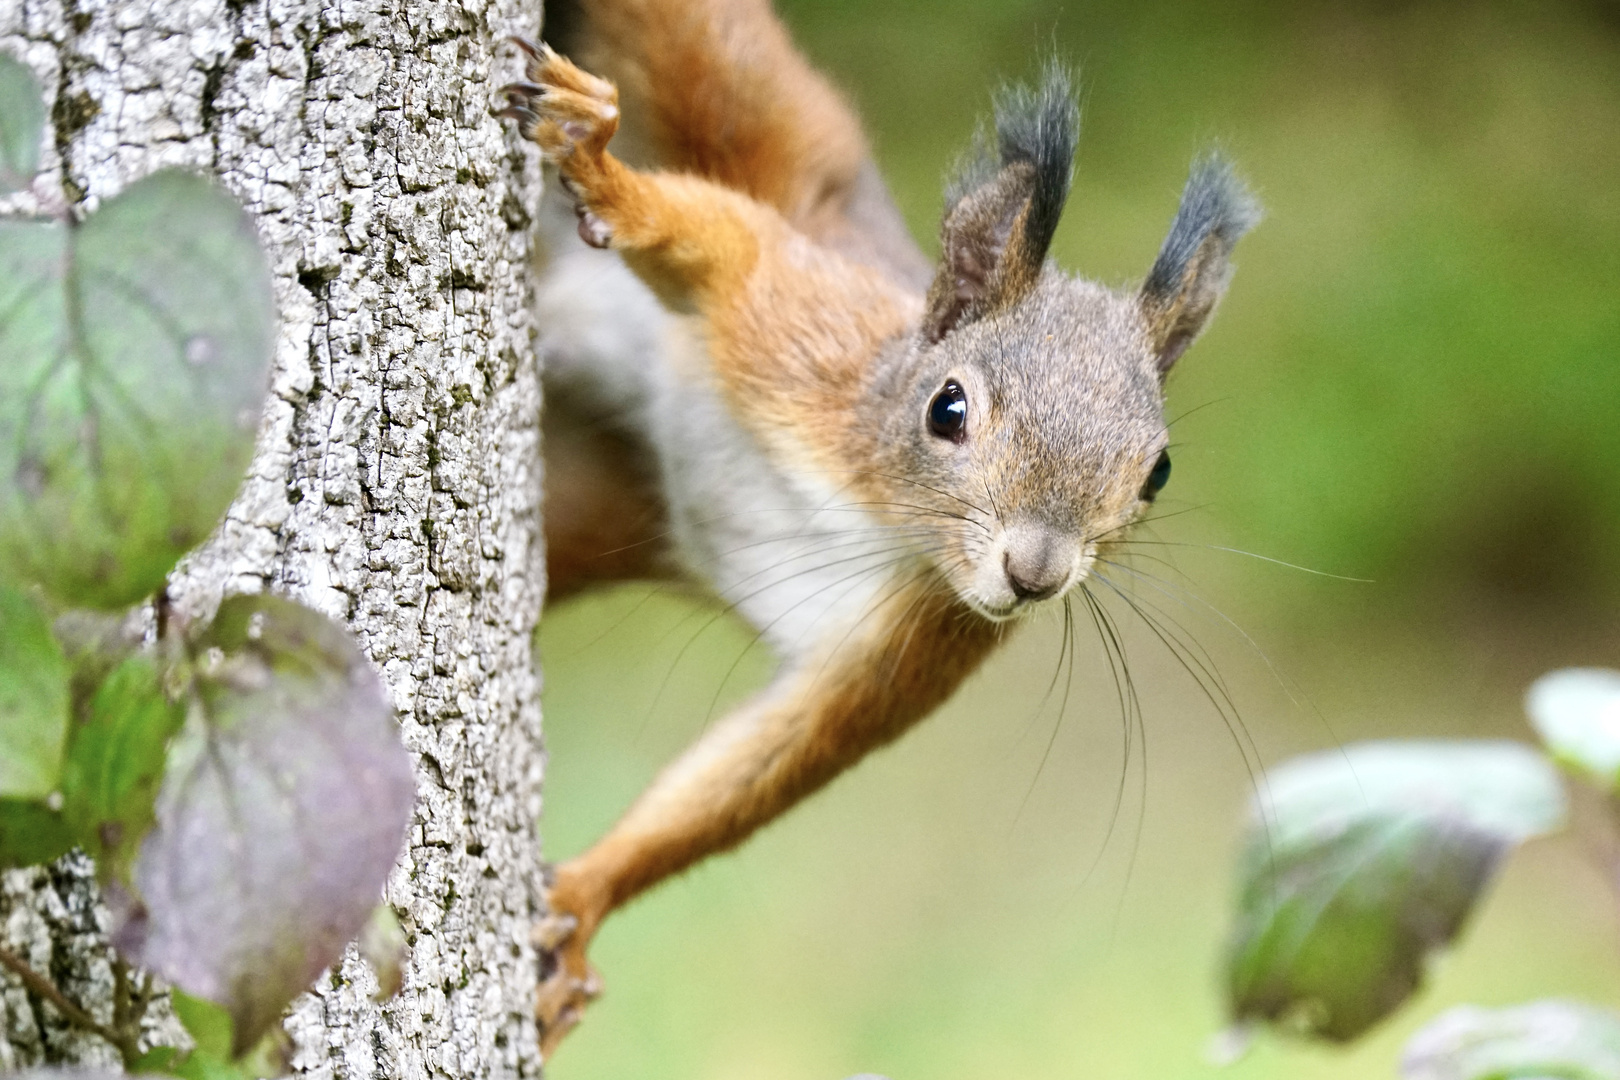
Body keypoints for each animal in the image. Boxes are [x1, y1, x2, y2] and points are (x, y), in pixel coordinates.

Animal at [489, 0, 1250, 1049]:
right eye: (947, 408)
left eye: (1158, 474)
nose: (1035, 575)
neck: (878, 510)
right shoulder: (797, 326)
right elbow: (717, 238)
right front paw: (602, 174)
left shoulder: (915, 644)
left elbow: (773, 758)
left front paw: (582, 905)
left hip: (592, 504)